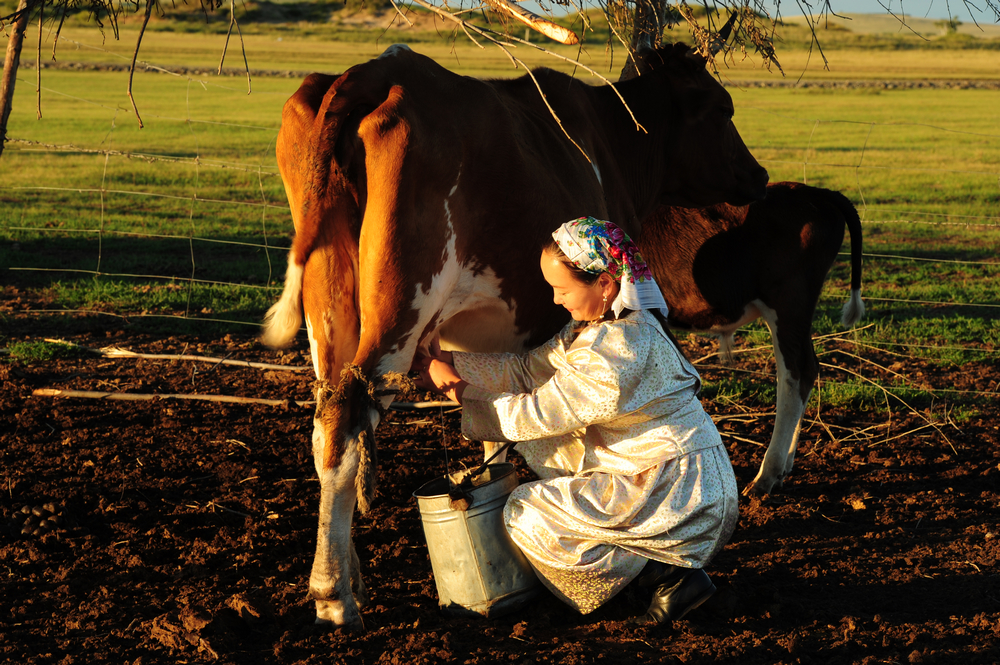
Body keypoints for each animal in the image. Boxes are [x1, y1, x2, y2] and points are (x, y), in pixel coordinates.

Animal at [264, 42, 764, 628]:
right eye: (724, 108)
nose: (758, 175)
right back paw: (333, 595)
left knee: (325, 425)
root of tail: (374, 70)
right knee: (347, 420)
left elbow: (492, 425)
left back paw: (350, 578)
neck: (611, 139)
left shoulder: (481, 337)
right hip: (400, 303)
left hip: (328, 309)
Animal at [640, 182, 868, 498]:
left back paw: (767, 475)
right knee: (808, 368)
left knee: (795, 373)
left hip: (788, 300)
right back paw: (783, 467)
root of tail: (813, 191)